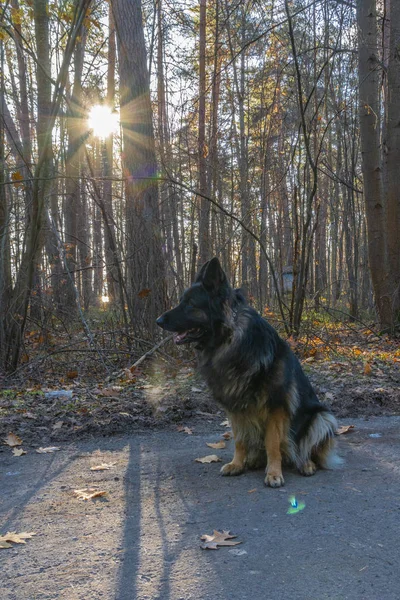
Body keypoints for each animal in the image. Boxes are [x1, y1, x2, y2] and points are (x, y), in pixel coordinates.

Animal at [156, 258, 340, 488]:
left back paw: (305, 464)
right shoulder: (234, 405)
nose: (158, 321)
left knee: (304, 448)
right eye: (182, 301)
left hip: (322, 417)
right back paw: (254, 461)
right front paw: (237, 464)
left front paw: (274, 473)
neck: (230, 339)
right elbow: (239, 440)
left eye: (190, 304)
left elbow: (272, 443)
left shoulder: (275, 407)